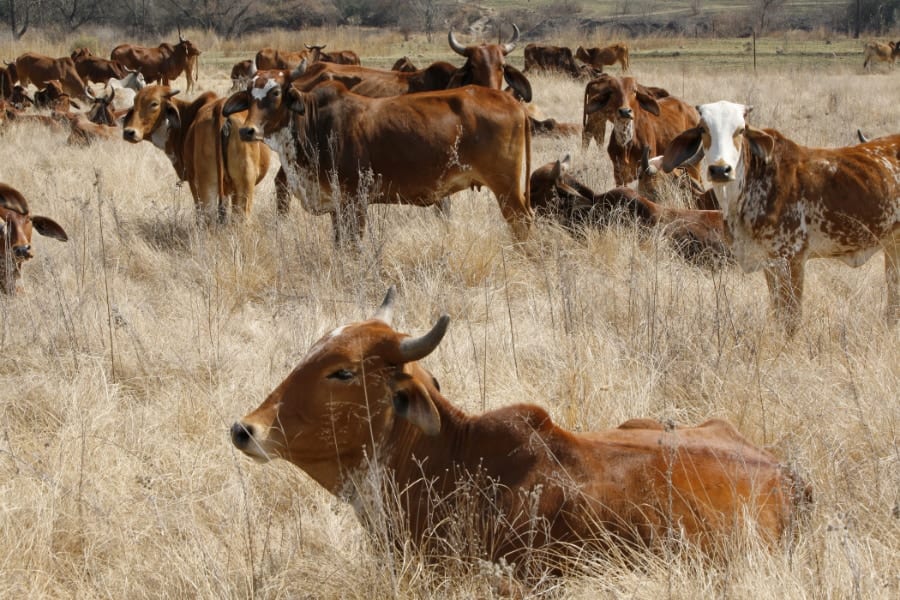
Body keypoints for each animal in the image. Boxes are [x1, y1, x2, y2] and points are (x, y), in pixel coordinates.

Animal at [121, 85, 272, 221]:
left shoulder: (192, 181)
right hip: (239, 184)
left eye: (154, 104)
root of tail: (219, 109)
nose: (129, 132)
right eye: (135, 102)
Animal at [225, 65, 536, 241]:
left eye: (276, 92)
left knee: (521, 224)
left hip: (506, 189)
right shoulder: (337, 206)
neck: (314, 124)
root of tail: (511, 101)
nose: (248, 131)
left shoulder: (355, 202)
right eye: (250, 95)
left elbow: (354, 246)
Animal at [660, 103, 900, 338]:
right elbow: (777, 313)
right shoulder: (769, 263)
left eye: (741, 130)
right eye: (703, 129)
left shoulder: (792, 259)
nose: (720, 169)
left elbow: (790, 319)